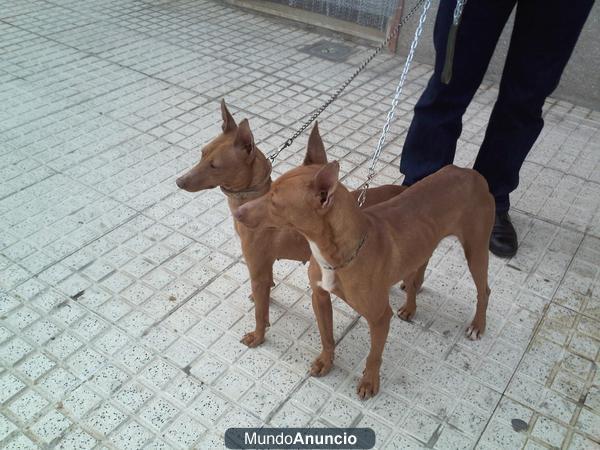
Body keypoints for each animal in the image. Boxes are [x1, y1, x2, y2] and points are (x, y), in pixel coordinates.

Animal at [176, 102, 406, 346]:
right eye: (202, 153)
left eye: (215, 166)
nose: (179, 181)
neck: (251, 199)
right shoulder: (265, 266)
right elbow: (265, 292)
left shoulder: (257, 270)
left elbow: (260, 313)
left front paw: (258, 337)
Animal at [233, 161, 492, 398]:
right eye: (269, 188)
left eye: (275, 201)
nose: (237, 213)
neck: (337, 254)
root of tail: (470, 172)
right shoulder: (320, 296)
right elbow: (327, 337)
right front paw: (326, 362)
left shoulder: (379, 318)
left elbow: (374, 356)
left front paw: (369, 382)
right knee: (418, 273)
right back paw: (410, 306)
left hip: (476, 251)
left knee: (484, 290)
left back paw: (477, 326)